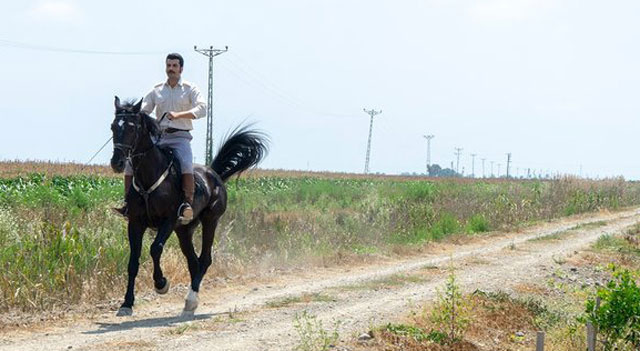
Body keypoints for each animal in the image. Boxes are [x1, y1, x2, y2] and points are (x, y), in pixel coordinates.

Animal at [110, 97, 268, 318]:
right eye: (113, 127)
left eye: (132, 128)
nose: (117, 163)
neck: (150, 175)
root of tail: (214, 174)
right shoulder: (135, 223)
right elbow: (133, 261)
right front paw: (126, 304)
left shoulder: (168, 220)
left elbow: (155, 249)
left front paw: (161, 284)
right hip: (184, 230)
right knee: (194, 261)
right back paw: (190, 302)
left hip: (210, 221)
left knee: (205, 259)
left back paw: (190, 300)